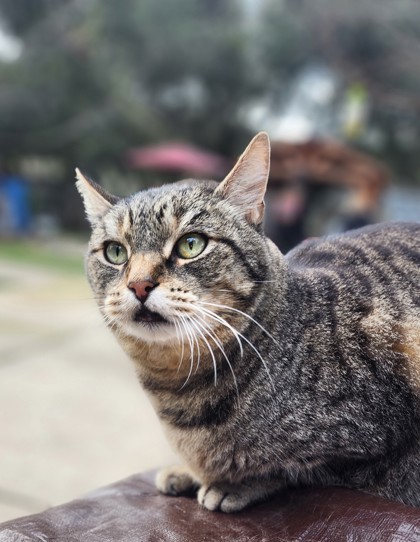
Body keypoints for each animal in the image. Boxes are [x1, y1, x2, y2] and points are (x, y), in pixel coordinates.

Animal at [76, 133, 420, 516]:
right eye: (115, 252)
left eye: (191, 244)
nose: (139, 285)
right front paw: (186, 470)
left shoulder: (365, 440)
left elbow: (291, 468)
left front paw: (230, 484)